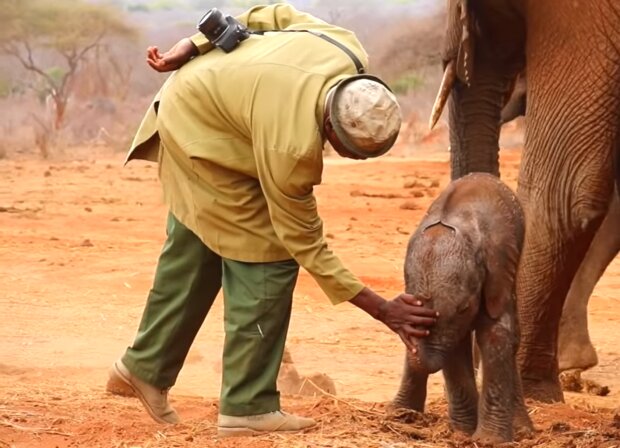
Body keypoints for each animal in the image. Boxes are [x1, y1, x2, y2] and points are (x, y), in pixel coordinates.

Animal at [392, 173, 532, 442]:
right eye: (410, 300)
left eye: (465, 308)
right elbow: (456, 347)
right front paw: (462, 433)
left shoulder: (498, 269)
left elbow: (495, 334)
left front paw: (488, 441)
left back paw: (523, 430)